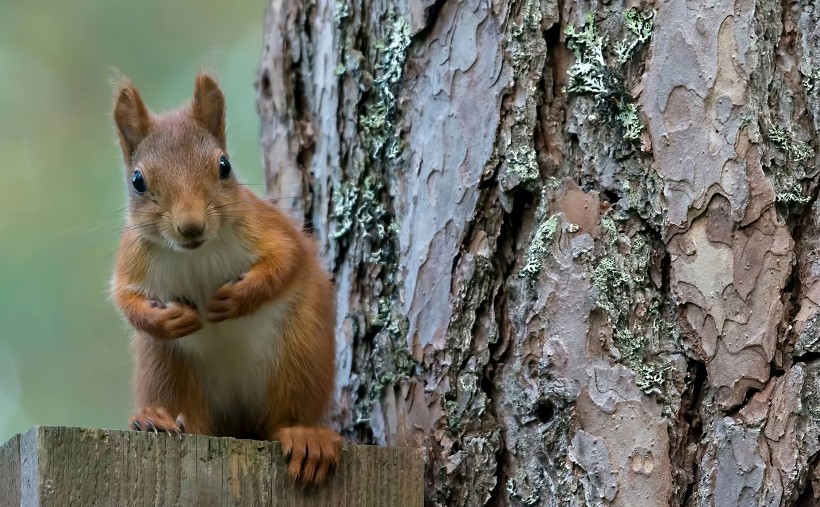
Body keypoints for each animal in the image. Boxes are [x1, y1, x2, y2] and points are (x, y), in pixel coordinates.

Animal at [111, 72, 340, 484]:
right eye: (138, 181)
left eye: (224, 165)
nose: (191, 226)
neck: (195, 253)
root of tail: (238, 424)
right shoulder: (132, 257)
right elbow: (124, 299)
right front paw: (168, 319)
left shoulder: (266, 227)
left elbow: (286, 259)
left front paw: (237, 298)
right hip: (165, 366)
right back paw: (155, 419)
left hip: (301, 351)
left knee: (284, 418)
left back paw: (305, 436)